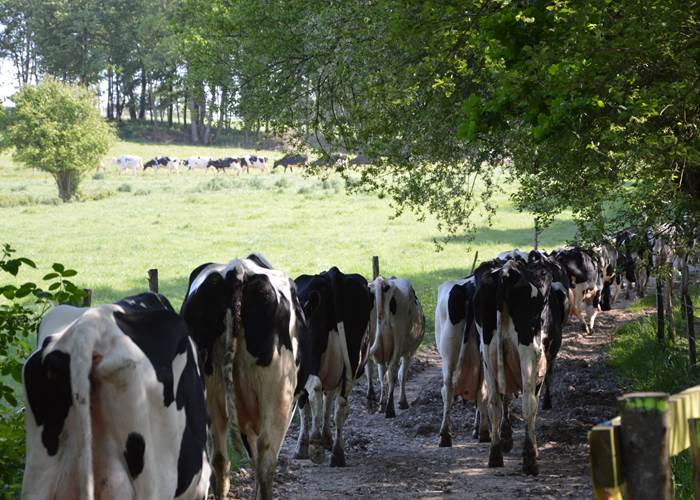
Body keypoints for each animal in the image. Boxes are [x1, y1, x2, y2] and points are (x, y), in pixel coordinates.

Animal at [292, 267, 372, 467]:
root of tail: (331, 273)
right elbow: (328, 402)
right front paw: (326, 438)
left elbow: (305, 406)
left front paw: (303, 447)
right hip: (352, 359)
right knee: (341, 404)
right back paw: (337, 453)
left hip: (310, 359)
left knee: (315, 388)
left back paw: (316, 446)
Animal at [366, 276, 425, 418]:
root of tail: (382, 282)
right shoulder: (408, 352)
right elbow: (401, 375)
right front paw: (402, 402)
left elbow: (381, 376)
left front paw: (381, 405)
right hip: (399, 340)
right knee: (393, 371)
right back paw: (390, 409)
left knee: (369, 369)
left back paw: (371, 403)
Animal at [475, 257, 554, 475]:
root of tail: (507, 271)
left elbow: (506, 400)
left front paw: (506, 439)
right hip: (528, 352)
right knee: (528, 403)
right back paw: (530, 460)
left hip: (488, 354)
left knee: (494, 403)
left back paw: (495, 455)